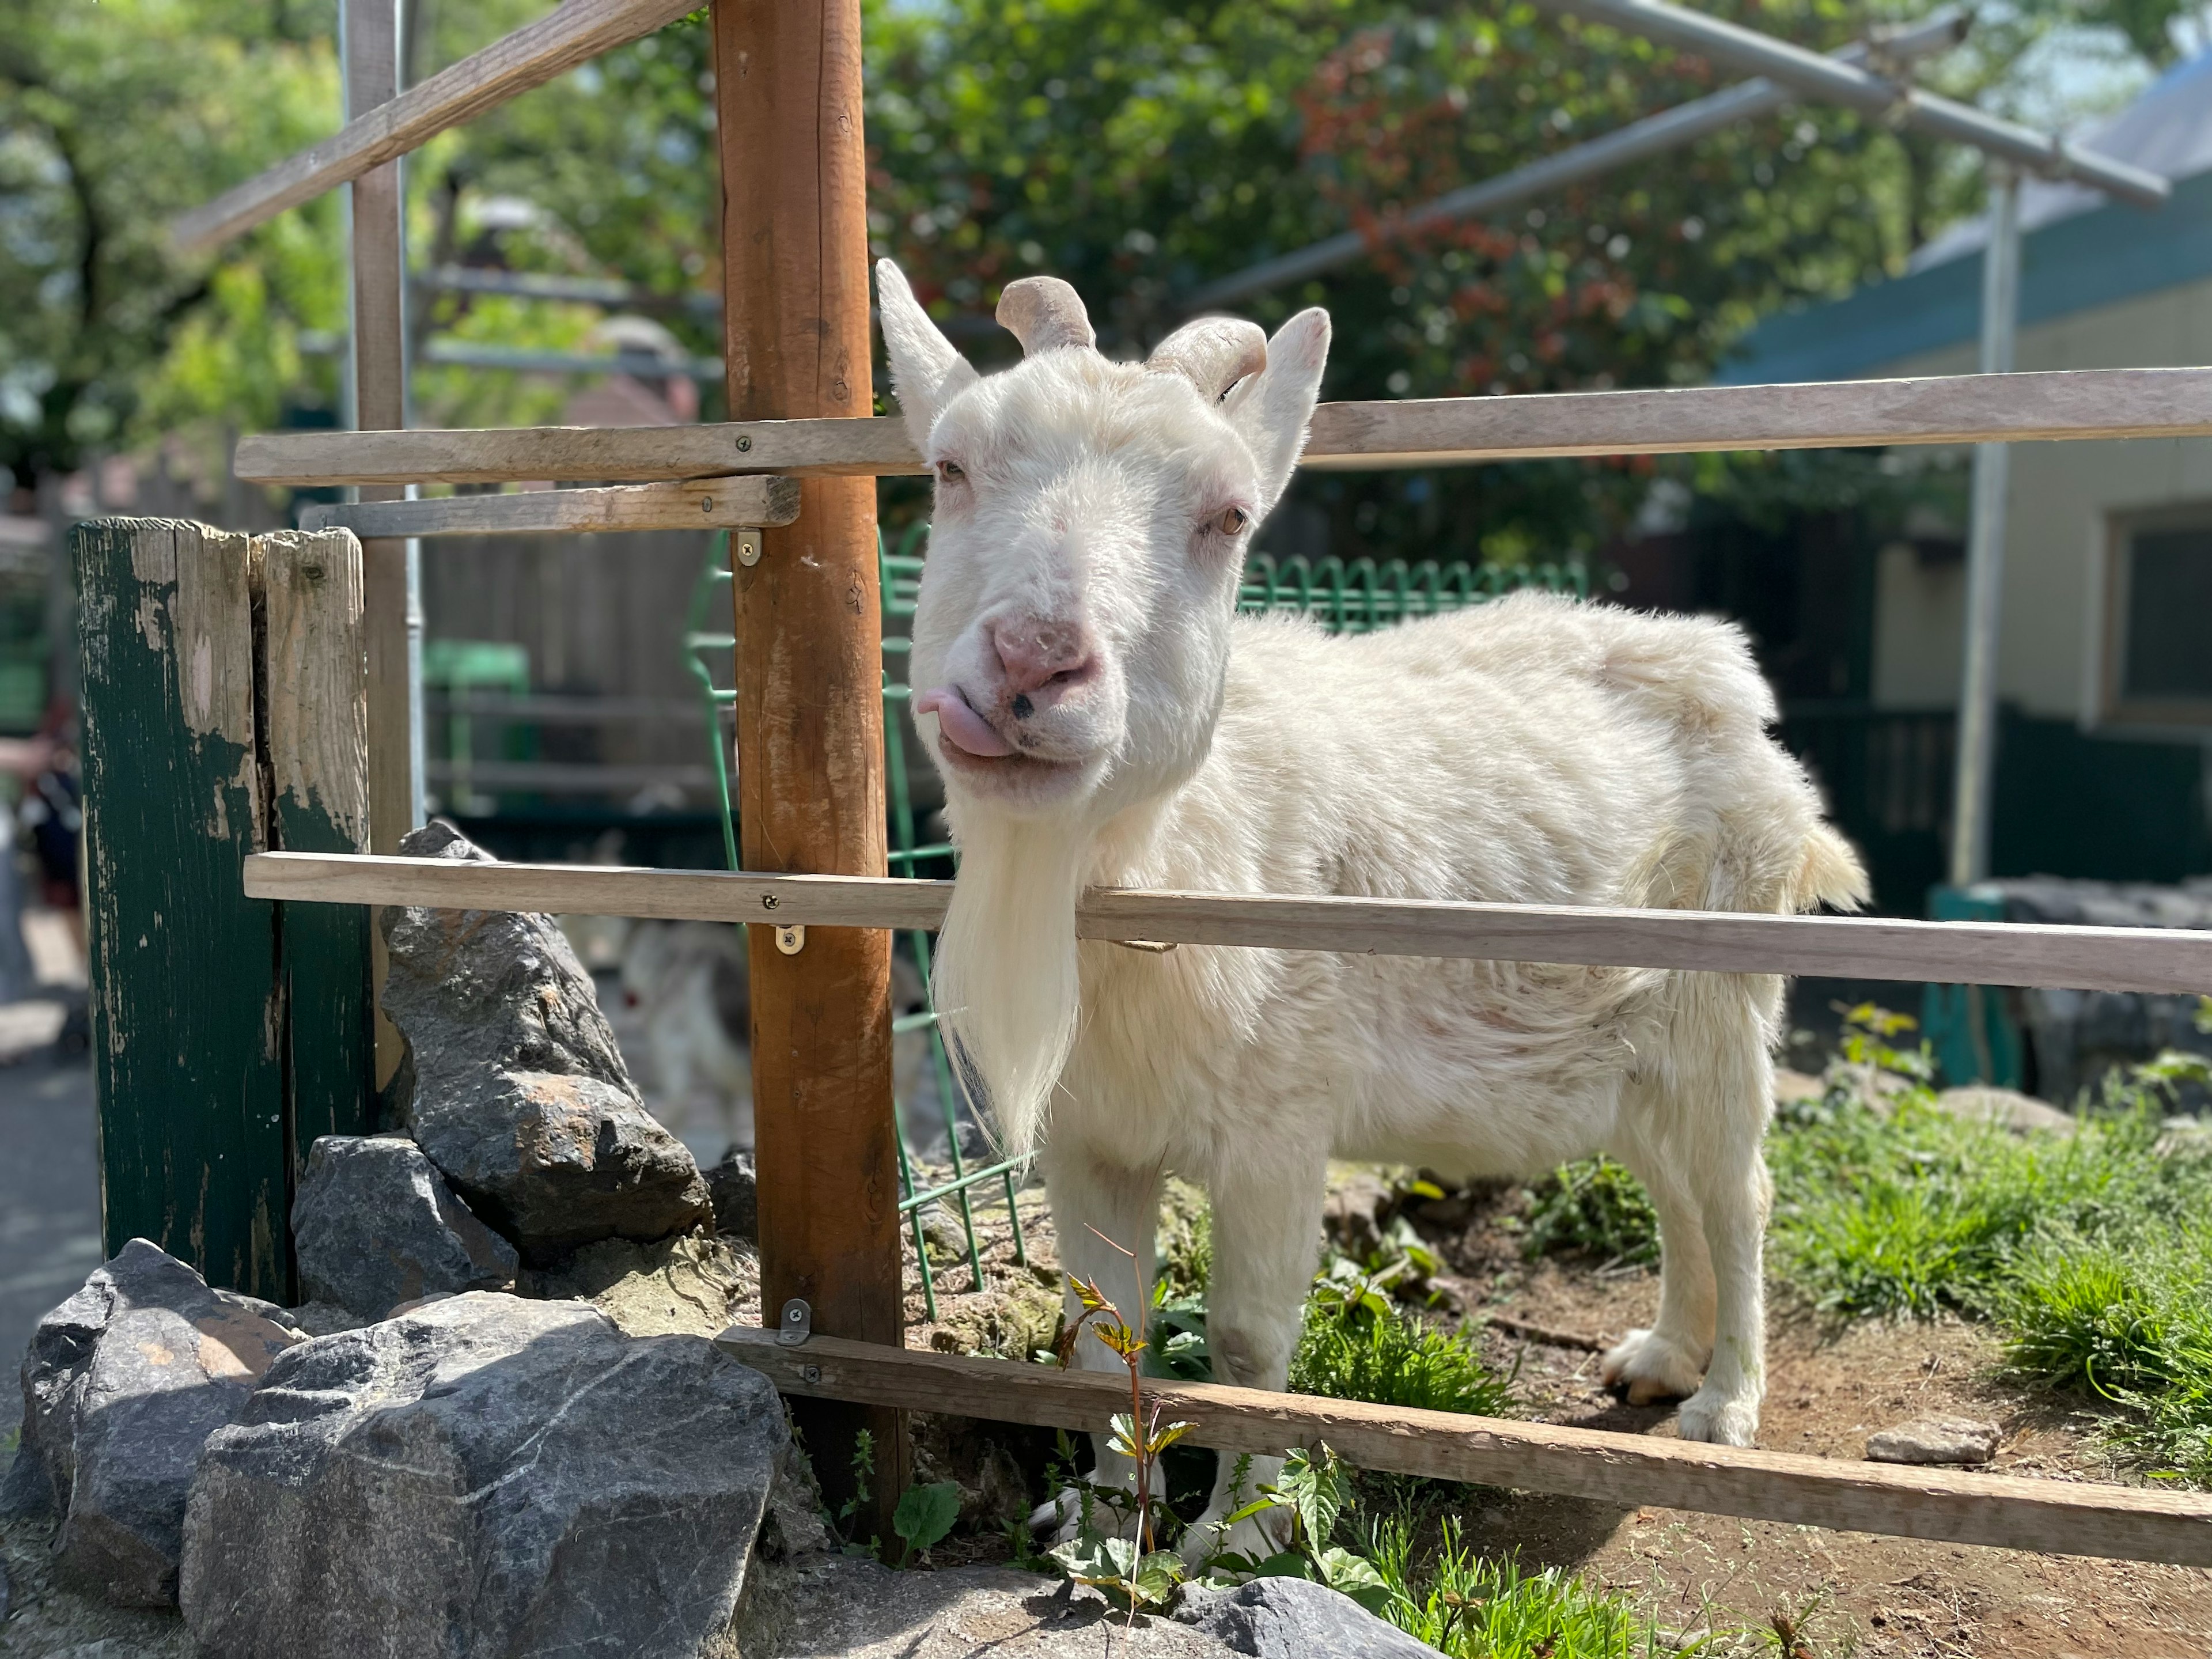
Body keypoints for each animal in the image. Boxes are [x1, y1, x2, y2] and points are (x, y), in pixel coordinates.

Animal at [876, 260, 1866, 1557]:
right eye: (949, 467)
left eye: (1230, 516)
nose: (1037, 662)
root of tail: (1728, 685)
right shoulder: (1090, 1138)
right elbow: (1101, 1333)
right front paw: (1100, 1525)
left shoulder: (1280, 1128)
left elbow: (1246, 1342)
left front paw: (1237, 1536)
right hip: (1632, 1033)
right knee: (1673, 1183)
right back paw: (1659, 1358)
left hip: (1723, 991)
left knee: (1739, 1191)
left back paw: (1724, 1404)